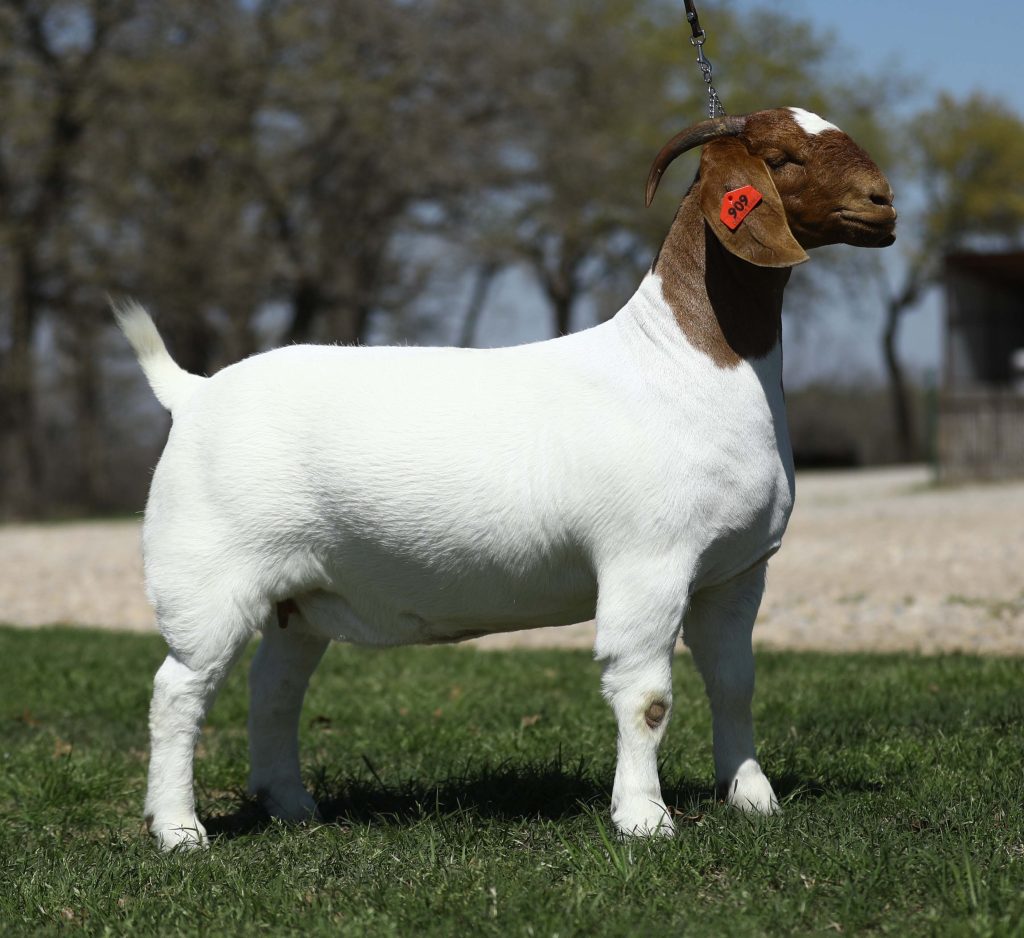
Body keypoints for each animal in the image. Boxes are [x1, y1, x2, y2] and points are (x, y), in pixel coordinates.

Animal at [116, 106, 895, 850]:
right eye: (783, 157)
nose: (883, 201)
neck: (683, 359)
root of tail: (192, 392)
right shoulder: (647, 564)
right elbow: (646, 696)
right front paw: (644, 819)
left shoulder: (735, 572)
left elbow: (734, 682)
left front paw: (752, 798)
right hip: (208, 579)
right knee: (179, 691)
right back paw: (179, 830)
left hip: (299, 594)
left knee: (272, 688)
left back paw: (291, 806)